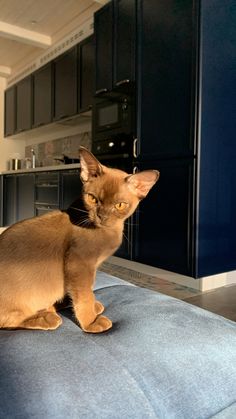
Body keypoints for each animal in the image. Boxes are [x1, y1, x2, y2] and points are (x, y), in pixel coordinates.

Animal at [0, 148, 159, 334]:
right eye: (93, 199)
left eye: (120, 205)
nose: (102, 216)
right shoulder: (80, 264)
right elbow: (85, 295)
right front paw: (91, 322)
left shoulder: (90, 268)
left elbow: (85, 291)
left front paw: (88, 308)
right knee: (8, 320)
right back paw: (48, 317)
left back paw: (54, 307)